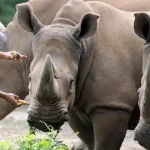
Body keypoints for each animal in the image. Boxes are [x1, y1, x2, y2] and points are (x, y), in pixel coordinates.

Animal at [17, 0, 147, 149]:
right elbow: (90, 141)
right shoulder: (74, 105)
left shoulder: (112, 105)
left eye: (71, 82)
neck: (83, 44)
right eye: (30, 78)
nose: (44, 119)